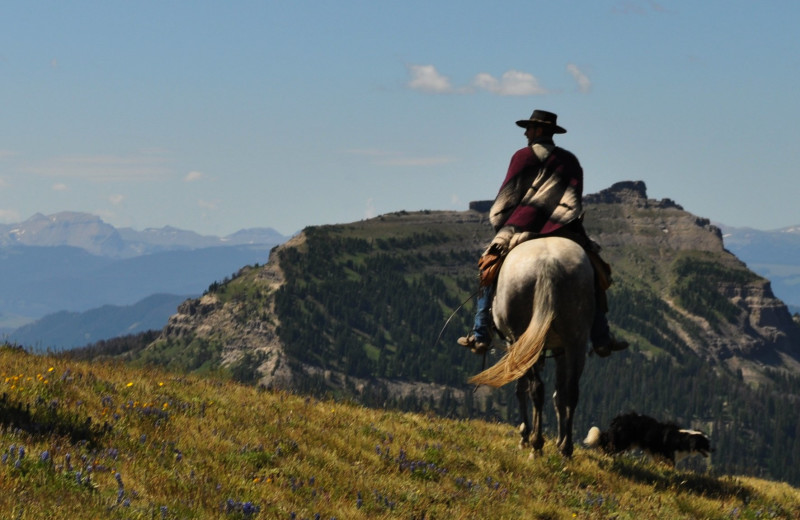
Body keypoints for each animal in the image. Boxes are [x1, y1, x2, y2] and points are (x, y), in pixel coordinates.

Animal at [468, 238, 592, 458]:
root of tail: (548, 265)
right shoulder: (560, 349)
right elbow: (559, 395)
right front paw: (559, 441)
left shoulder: (514, 344)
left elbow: (520, 388)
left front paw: (524, 436)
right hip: (576, 338)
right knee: (571, 390)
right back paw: (566, 448)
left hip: (522, 337)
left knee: (536, 388)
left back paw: (536, 443)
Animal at [580, 412, 712, 466]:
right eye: (705, 444)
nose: (713, 450)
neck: (682, 439)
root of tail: (618, 419)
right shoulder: (668, 455)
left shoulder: (659, 456)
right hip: (622, 442)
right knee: (608, 447)